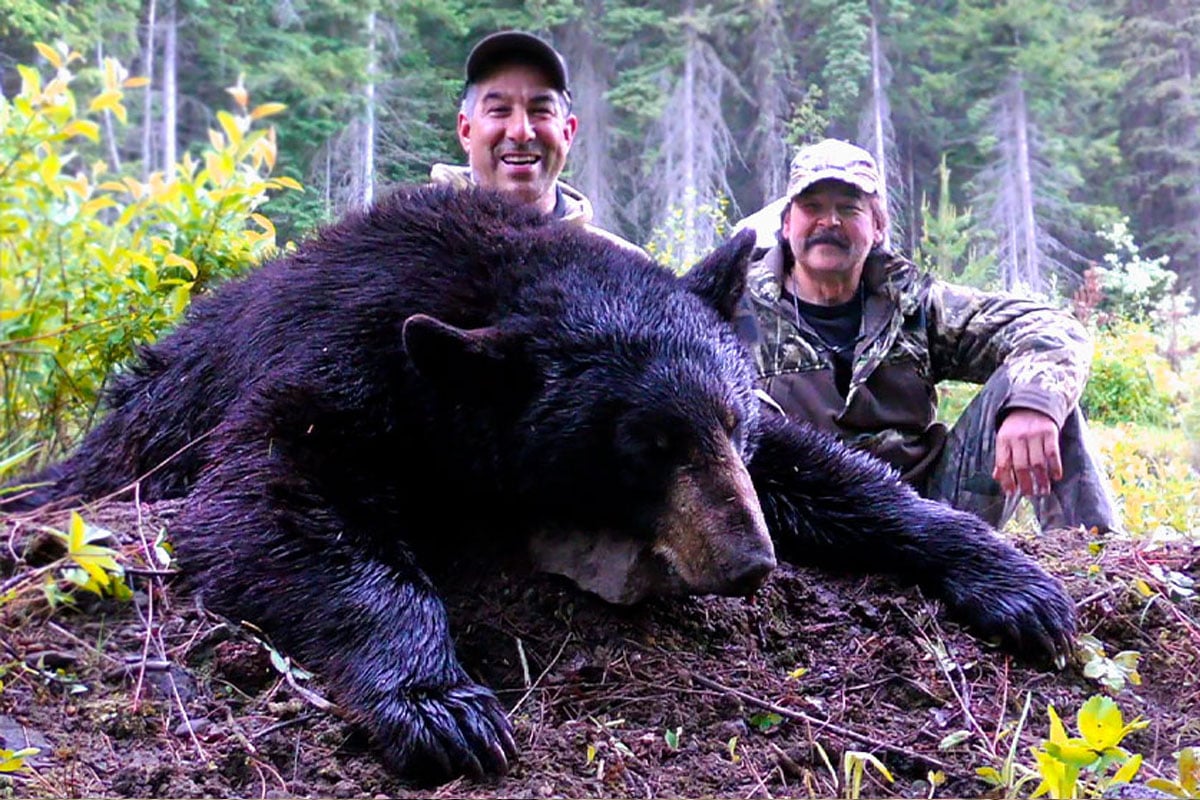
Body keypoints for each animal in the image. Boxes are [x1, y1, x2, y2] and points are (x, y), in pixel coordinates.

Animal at [4, 184, 1075, 786]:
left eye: (725, 423)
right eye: (644, 445)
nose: (748, 561)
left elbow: (827, 472)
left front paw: (1013, 583)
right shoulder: (338, 368)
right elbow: (273, 500)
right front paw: (443, 706)